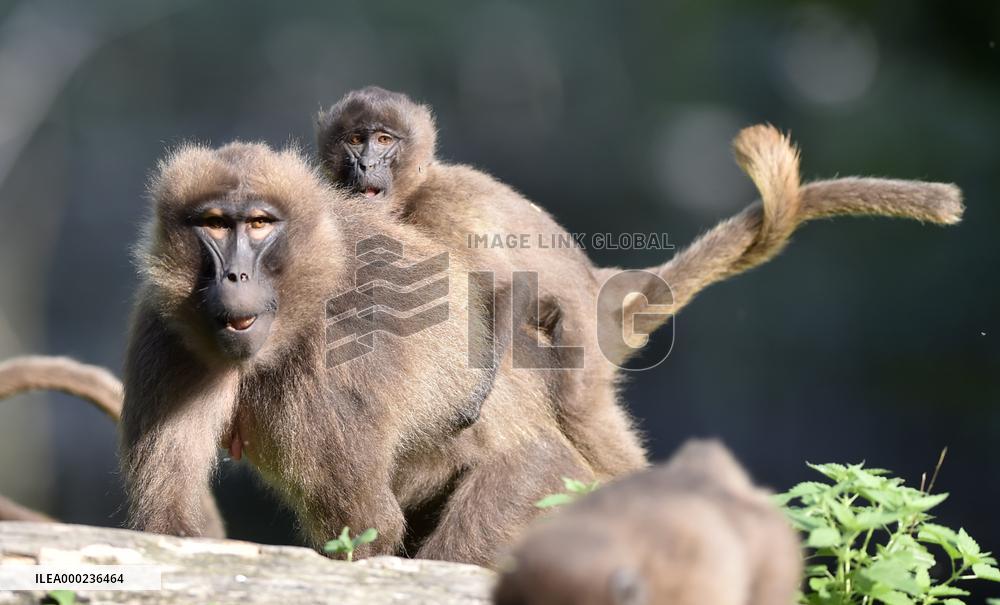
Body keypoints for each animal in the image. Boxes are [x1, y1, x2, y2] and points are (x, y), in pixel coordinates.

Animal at [118, 140, 595, 566]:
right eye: (214, 224)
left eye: (259, 224)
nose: (236, 276)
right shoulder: (164, 332)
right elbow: (169, 521)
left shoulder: (345, 347)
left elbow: (368, 527)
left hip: (542, 484)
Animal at [317, 89, 963, 478]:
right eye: (354, 139)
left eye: (384, 141)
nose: (365, 165)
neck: (413, 195)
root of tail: (600, 290)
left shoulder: (442, 212)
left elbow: (508, 287)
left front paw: (476, 389)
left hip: (583, 341)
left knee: (578, 403)